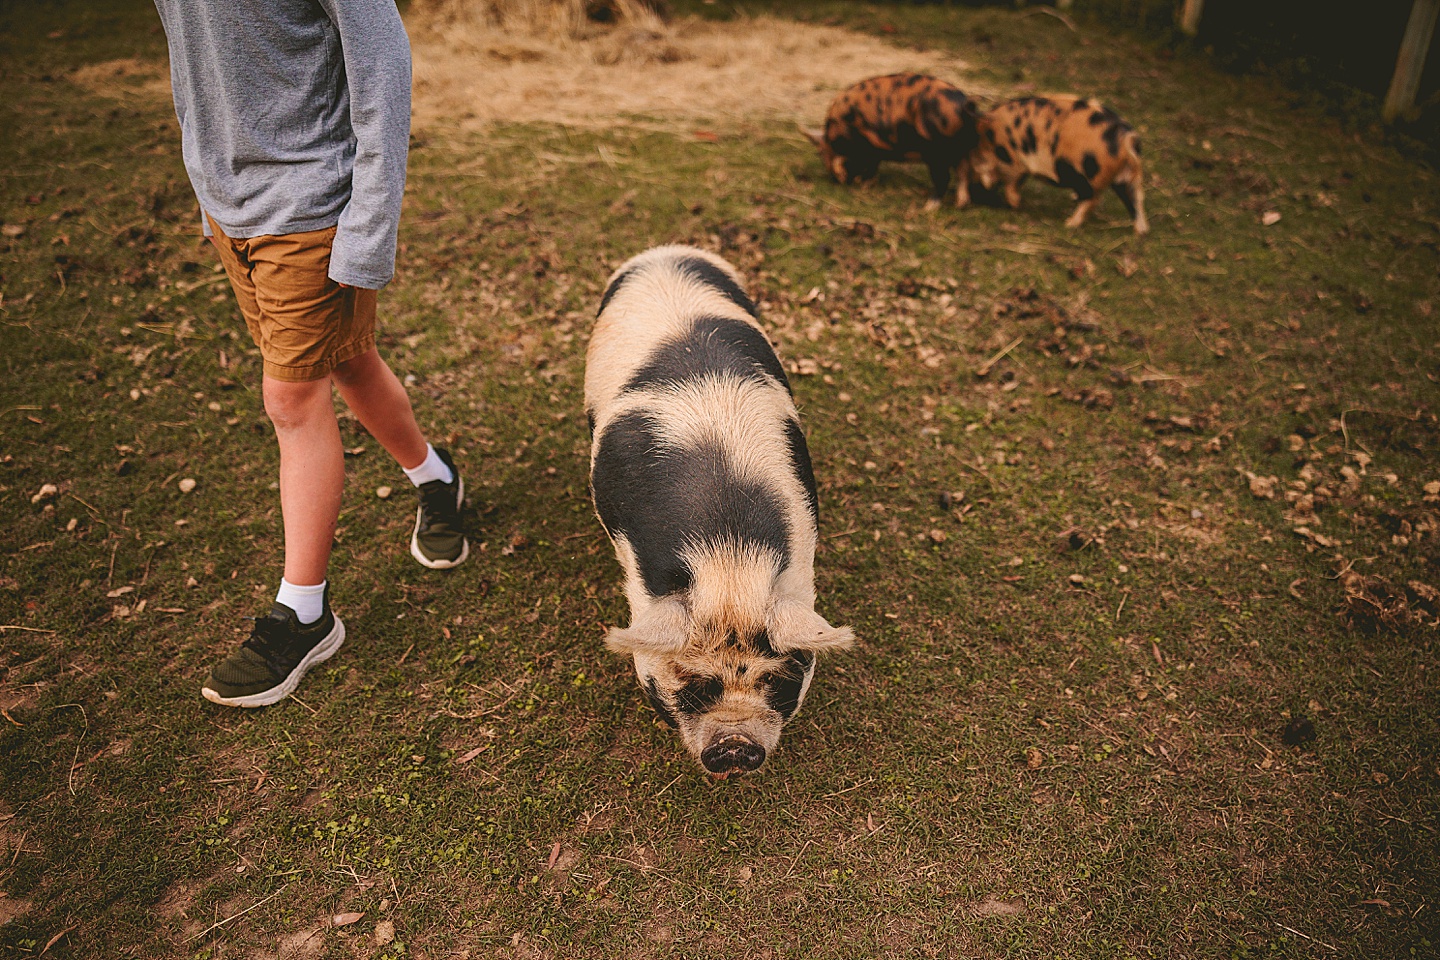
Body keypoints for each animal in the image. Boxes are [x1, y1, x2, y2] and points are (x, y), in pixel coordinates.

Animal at [806, 72, 984, 211]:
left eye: (822, 152)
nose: (836, 180)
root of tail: (963, 106)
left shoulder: (868, 142)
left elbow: (871, 163)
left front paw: (862, 183)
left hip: (936, 150)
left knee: (944, 177)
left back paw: (928, 208)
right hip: (962, 148)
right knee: (963, 171)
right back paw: (961, 205)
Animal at [961, 95, 1152, 234]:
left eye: (974, 159)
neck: (989, 141)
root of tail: (1128, 139)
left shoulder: (1014, 165)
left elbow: (1011, 186)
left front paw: (1017, 206)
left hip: (1090, 176)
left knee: (1093, 199)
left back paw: (1069, 224)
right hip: (1128, 178)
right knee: (1137, 199)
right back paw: (1141, 233)